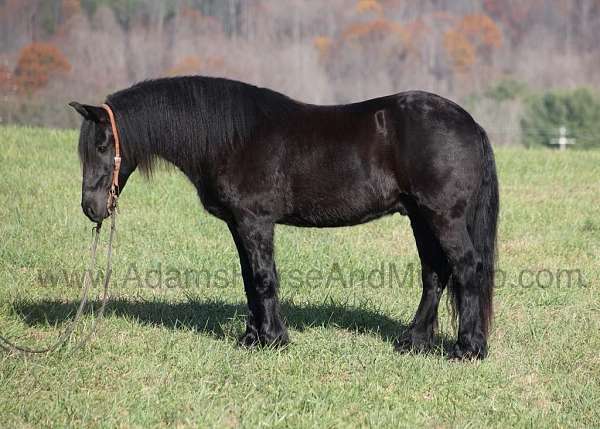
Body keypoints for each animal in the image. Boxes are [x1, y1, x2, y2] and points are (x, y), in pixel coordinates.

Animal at [70, 76, 500, 358]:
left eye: (103, 144)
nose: (92, 208)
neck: (231, 137)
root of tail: (470, 123)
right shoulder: (239, 224)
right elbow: (249, 279)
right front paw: (252, 338)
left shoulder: (255, 221)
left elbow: (264, 278)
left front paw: (274, 339)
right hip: (419, 217)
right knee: (435, 273)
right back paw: (413, 342)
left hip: (442, 217)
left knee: (466, 268)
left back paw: (467, 349)